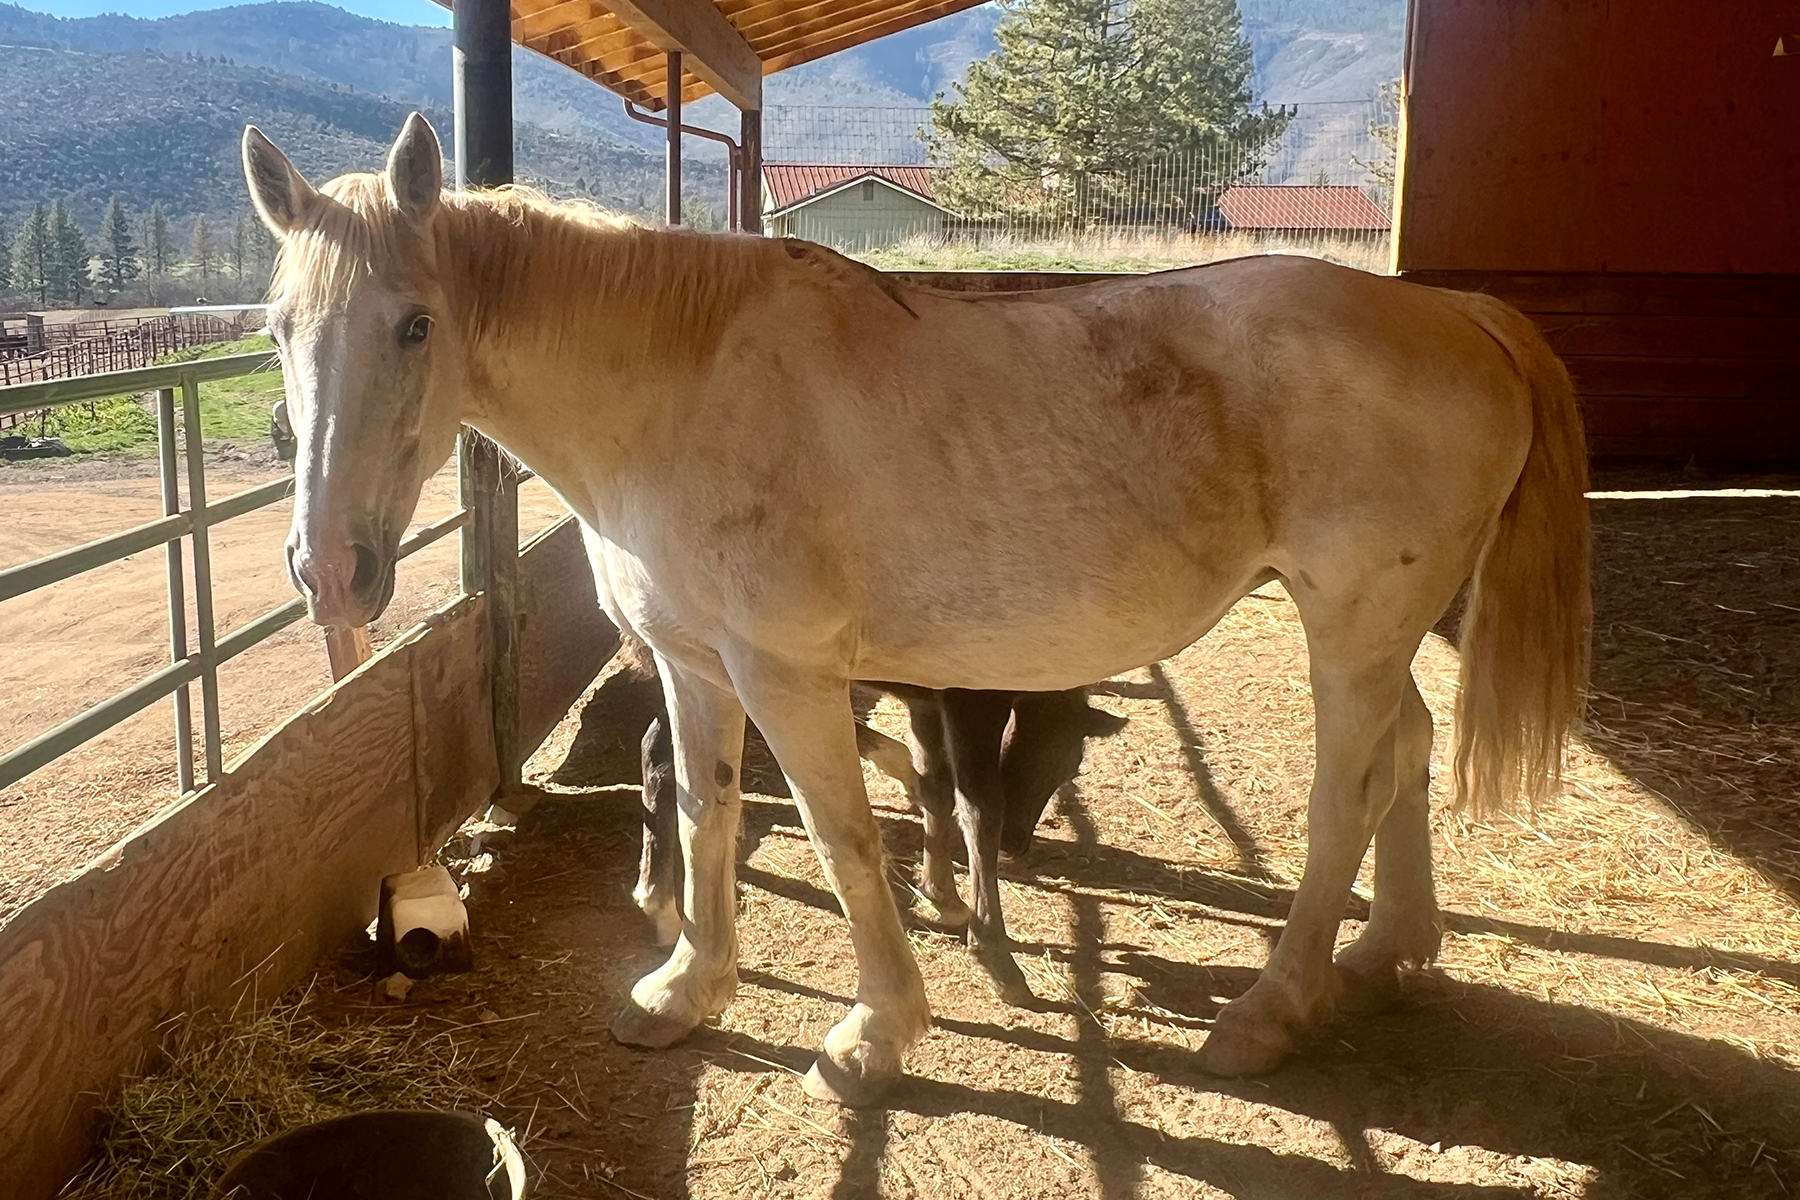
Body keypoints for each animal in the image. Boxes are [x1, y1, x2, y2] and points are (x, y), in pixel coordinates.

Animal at [243, 114, 1589, 1105]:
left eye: (416, 324)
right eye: (277, 329)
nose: (333, 571)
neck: (681, 387)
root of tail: (1456, 313)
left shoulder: (788, 674)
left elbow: (844, 838)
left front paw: (877, 1036)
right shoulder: (696, 668)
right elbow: (704, 814)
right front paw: (685, 993)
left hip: (1351, 632)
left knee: (1347, 794)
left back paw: (1270, 1013)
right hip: (1376, 635)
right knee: (1409, 752)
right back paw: (1387, 954)